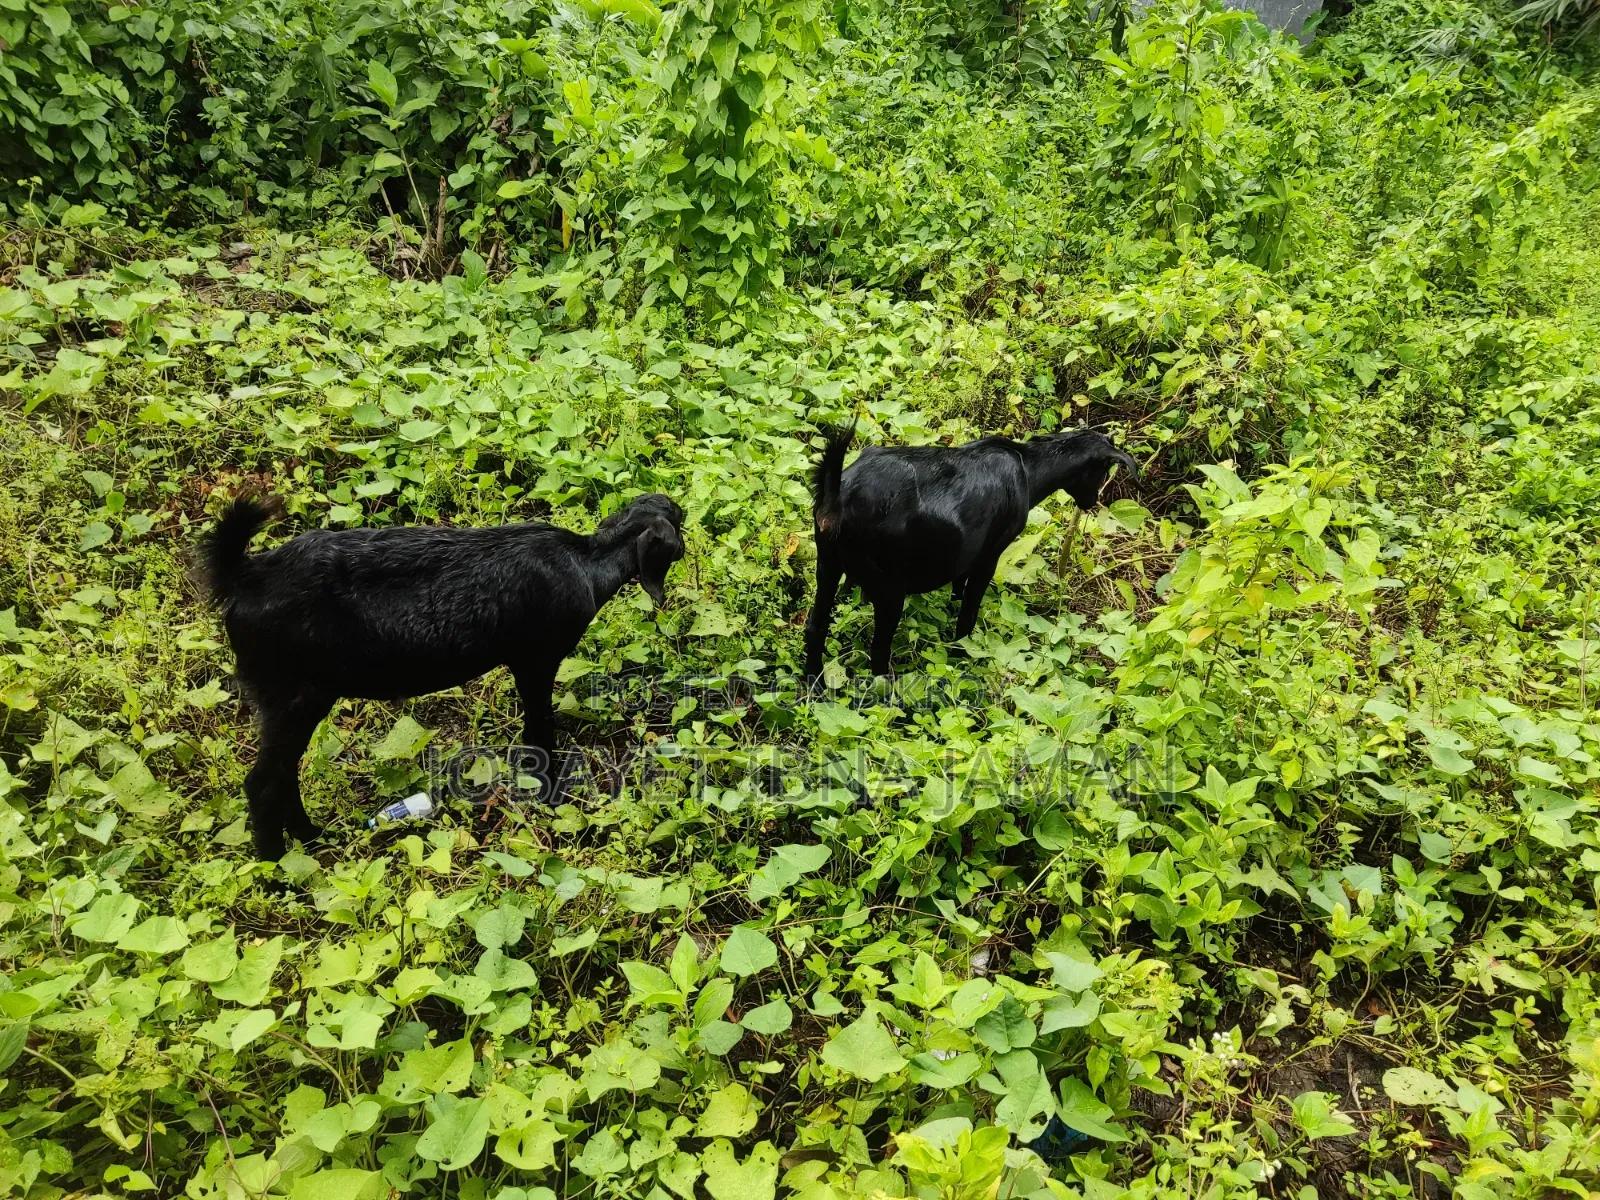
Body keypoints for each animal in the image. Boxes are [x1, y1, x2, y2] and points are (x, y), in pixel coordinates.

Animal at [197, 493, 685, 859]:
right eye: (679, 519)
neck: (586, 560)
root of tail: (243, 576)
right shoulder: (536, 660)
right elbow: (540, 730)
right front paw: (550, 797)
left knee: (283, 775)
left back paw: (313, 837)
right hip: (293, 695)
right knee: (263, 783)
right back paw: (277, 869)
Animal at [804, 425, 1138, 677]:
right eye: (1103, 468)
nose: (1092, 501)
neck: (1027, 469)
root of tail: (839, 498)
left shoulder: (966, 552)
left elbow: (958, 585)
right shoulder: (990, 553)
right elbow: (970, 605)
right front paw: (963, 649)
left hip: (827, 565)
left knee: (816, 626)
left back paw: (814, 685)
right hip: (890, 588)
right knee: (878, 650)